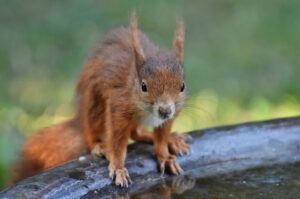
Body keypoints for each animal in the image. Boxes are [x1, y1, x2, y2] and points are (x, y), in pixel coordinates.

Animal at [12, 13, 190, 187]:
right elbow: (117, 142)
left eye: (182, 86)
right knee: (95, 136)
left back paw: (171, 139)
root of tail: (80, 119)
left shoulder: (172, 112)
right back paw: (100, 146)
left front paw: (165, 156)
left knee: (137, 133)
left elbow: (161, 138)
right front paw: (118, 167)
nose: (164, 110)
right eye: (144, 86)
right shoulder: (119, 105)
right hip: (94, 106)